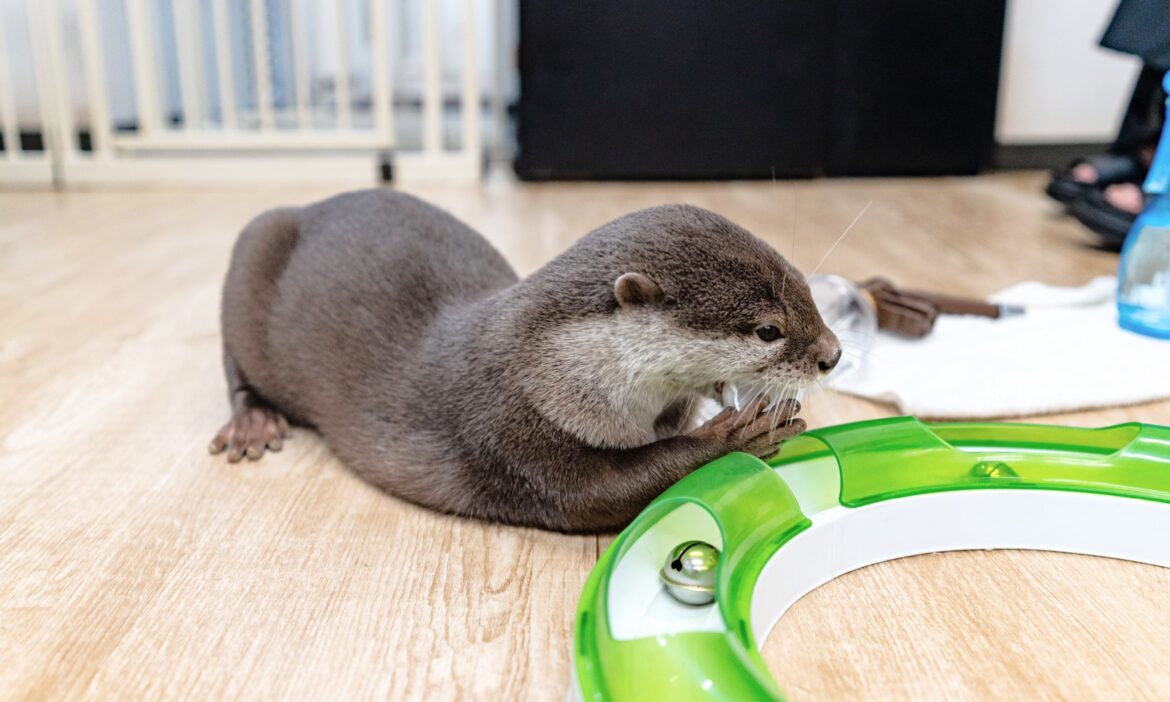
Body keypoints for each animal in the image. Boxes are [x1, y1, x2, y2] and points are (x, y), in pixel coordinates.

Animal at [209, 190, 841, 533]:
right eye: (768, 330)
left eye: (808, 291)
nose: (833, 354)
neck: (553, 371)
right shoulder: (508, 429)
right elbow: (594, 494)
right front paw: (736, 434)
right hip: (252, 248)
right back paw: (253, 422)